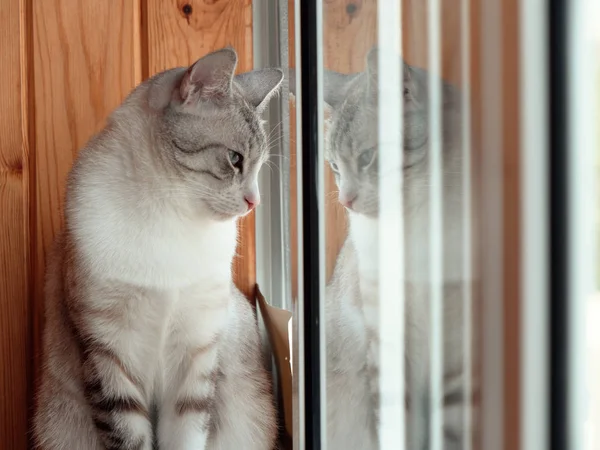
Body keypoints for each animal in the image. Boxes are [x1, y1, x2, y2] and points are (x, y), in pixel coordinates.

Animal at [32, 47, 284, 448]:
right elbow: (129, 436)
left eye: (259, 166)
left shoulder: (196, 356)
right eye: (235, 160)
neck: (174, 216)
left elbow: (186, 434)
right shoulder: (109, 353)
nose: (254, 202)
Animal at [290, 47, 478, 448]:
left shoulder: (455, 350)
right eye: (334, 167)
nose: (346, 200)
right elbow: (396, 426)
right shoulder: (387, 341)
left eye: (367, 159)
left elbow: (450, 432)